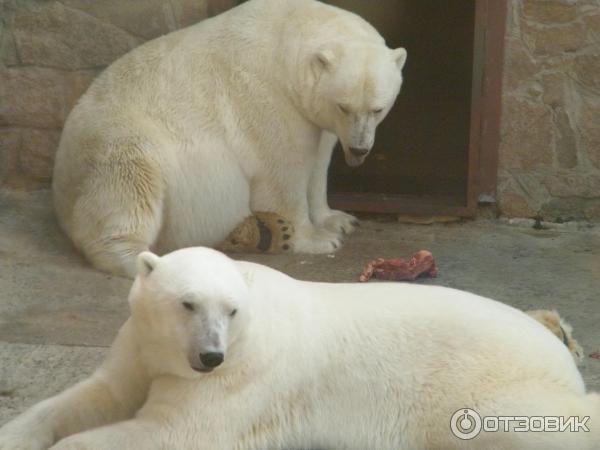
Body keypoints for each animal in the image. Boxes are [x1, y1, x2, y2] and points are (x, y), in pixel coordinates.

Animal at [1, 248, 600, 448]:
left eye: (231, 310)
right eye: (187, 304)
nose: (210, 357)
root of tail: (559, 355)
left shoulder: (241, 377)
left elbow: (169, 430)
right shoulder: (142, 346)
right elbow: (99, 393)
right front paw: (16, 433)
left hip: (488, 390)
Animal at [52, 0, 408, 278]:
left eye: (377, 108)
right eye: (343, 105)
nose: (359, 149)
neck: (285, 44)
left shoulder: (312, 113)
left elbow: (319, 162)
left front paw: (338, 219)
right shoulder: (269, 100)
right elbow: (284, 173)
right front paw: (317, 240)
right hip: (118, 142)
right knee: (130, 187)